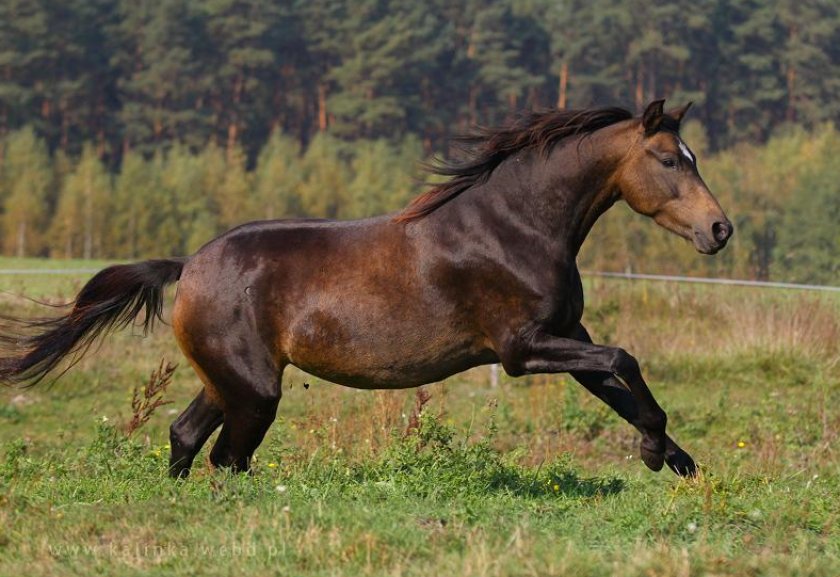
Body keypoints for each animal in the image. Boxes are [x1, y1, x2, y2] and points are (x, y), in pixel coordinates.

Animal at [0, 99, 732, 476]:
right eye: (668, 160)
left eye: (691, 157)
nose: (720, 229)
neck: (515, 225)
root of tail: (188, 264)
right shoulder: (523, 349)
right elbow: (624, 360)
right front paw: (655, 455)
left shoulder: (566, 334)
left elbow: (620, 386)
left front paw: (678, 460)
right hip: (254, 391)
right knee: (227, 457)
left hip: (228, 379)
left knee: (184, 436)